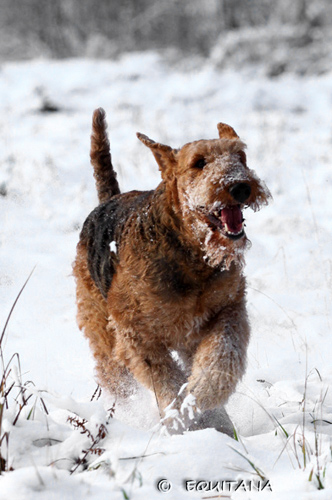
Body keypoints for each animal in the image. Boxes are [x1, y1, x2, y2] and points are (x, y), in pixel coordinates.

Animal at [72, 108, 270, 434]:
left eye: (241, 156)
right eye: (199, 162)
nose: (240, 186)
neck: (190, 256)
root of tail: (108, 199)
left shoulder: (227, 312)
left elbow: (220, 360)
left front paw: (200, 401)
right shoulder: (136, 334)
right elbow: (165, 379)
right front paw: (182, 418)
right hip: (100, 325)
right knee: (111, 372)